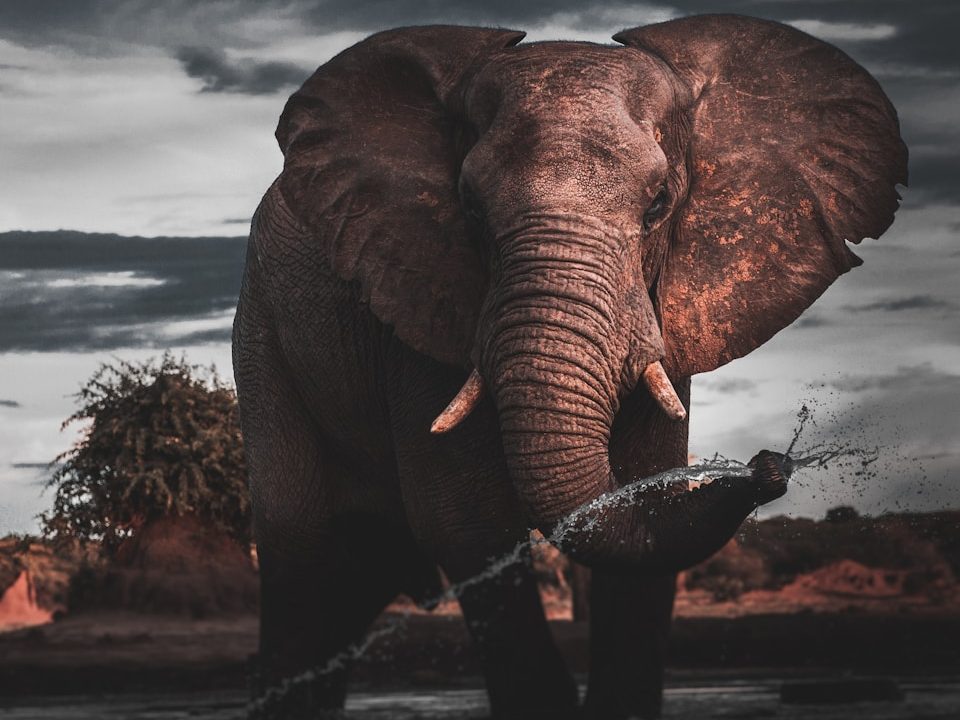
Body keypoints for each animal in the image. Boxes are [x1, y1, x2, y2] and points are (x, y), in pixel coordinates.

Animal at [233, 14, 906, 720]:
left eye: (660, 203)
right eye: (469, 207)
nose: (770, 465)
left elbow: (646, 504)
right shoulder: (418, 304)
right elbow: (468, 524)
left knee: (357, 576)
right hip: (264, 338)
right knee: (304, 560)